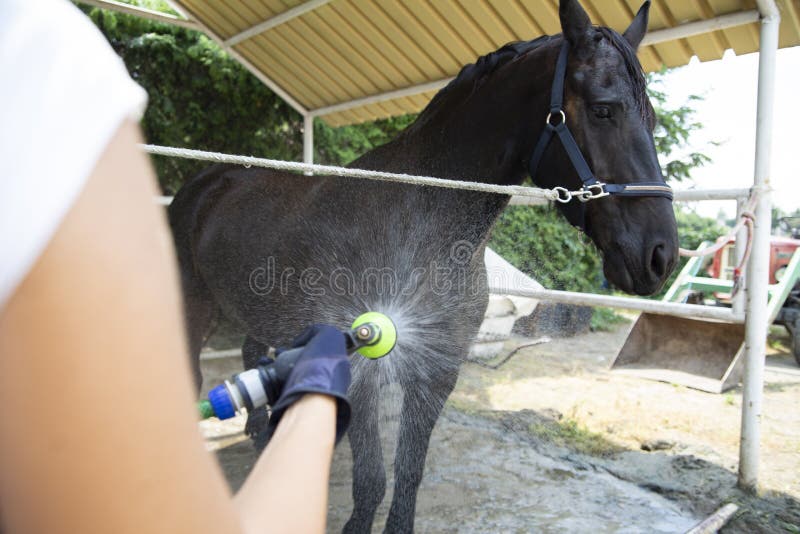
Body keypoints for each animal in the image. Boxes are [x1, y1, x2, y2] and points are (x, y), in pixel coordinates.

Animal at [168, 0, 678, 531]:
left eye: (652, 118)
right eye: (603, 109)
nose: (660, 255)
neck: (418, 220)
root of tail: (203, 183)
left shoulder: (437, 371)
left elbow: (409, 475)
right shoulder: (361, 367)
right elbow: (372, 482)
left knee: (252, 354)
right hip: (195, 305)